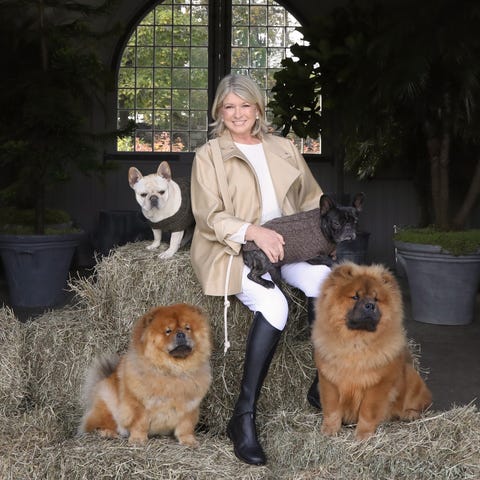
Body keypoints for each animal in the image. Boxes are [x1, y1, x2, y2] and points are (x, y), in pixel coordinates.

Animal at [79, 304, 212, 446]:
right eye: (168, 331)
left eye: (188, 328)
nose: (181, 334)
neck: (173, 371)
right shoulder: (139, 406)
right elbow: (139, 424)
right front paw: (138, 439)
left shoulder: (189, 407)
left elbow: (185, 427)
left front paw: (188, 441)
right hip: (108, 404)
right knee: (97, 425)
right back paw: (108, 433)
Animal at [312, 262, 432, 438]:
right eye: (355, 297)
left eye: (376, 299)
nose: (370, 305)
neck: (356, 343)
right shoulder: (329, 380)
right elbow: (332, 409)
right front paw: (330, 430)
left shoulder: (378, 385)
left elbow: (367, 412)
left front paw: (363, 435)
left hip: (411, 377)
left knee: (421, 402)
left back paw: (410, 414)